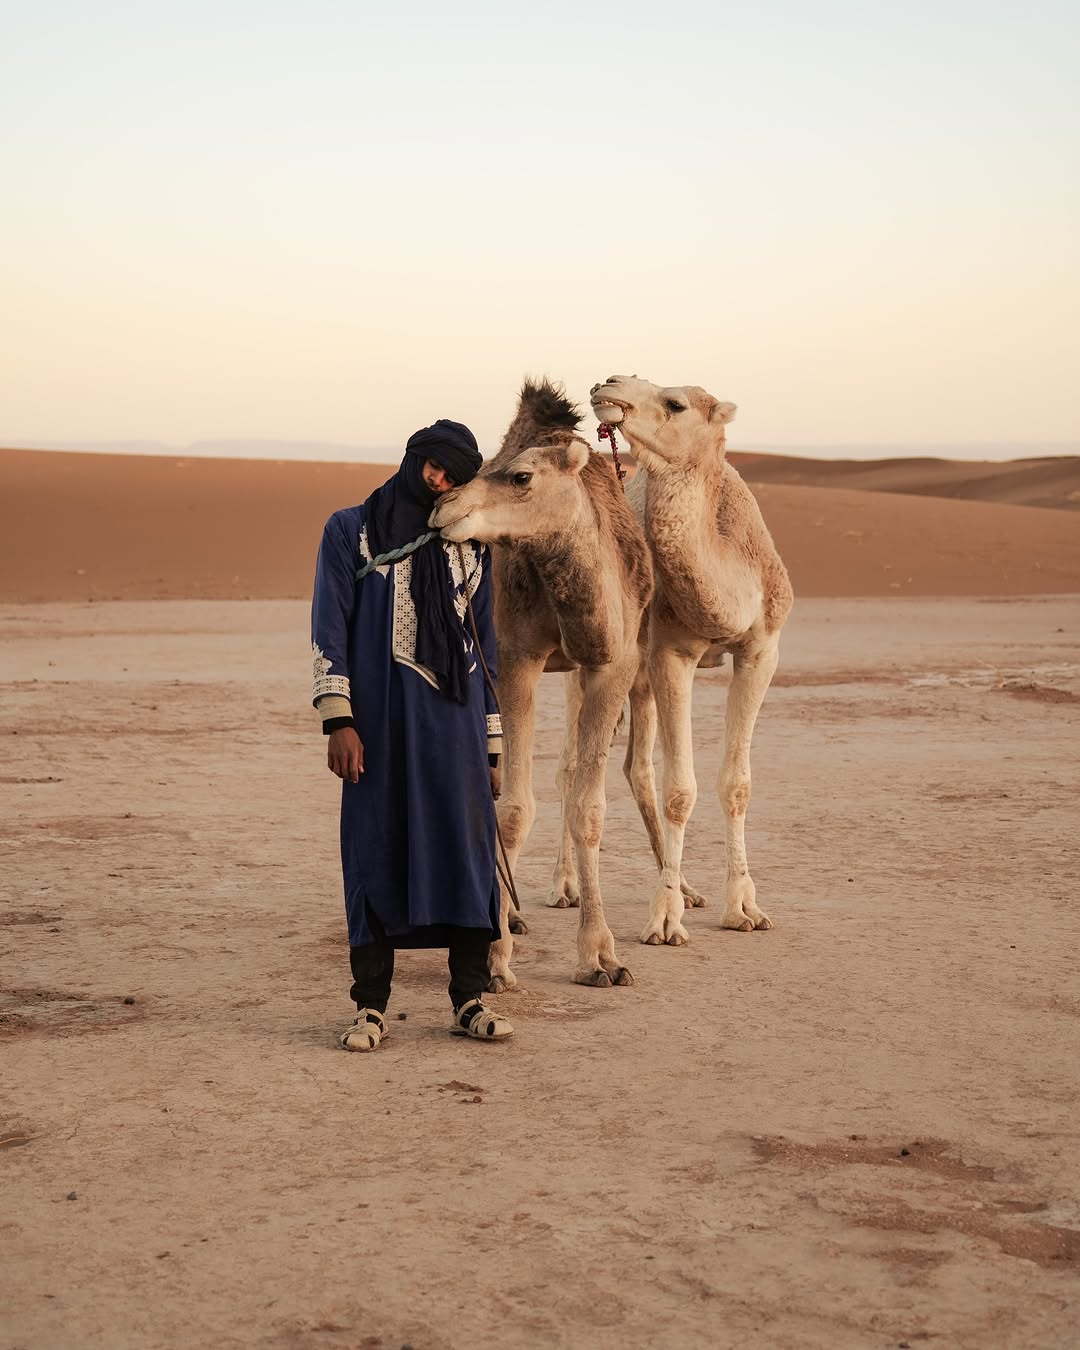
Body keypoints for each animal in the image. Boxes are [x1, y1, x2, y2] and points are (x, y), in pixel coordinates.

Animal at [431, 380, 653, 989]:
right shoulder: (516, 658)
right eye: (491, 468)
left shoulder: (613, 662)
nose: (442, 507)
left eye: (520, 477)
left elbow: (588, 808)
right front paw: (495, 960)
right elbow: (511, 811)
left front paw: (601, 958)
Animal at [589, 375, 793, 946]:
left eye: (675, 403)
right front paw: (664, 919)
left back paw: (686, 886)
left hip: (638, 676)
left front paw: (743, 907)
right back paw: (567, 887)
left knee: (635, 767)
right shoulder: (672, 654)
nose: (607, 385)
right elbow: (681, 790)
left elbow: (737, 784)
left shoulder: (761, 651)